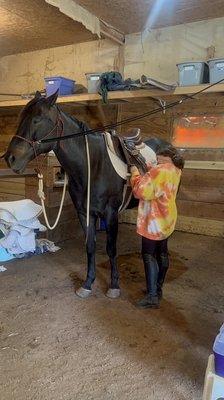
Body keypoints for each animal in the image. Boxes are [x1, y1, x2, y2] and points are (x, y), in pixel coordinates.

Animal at [4, 90, 170, 296]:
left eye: (38, 119)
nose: (10, 158)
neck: (93, 164)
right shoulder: (84, 213)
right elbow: (90, 246)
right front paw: (88, 283)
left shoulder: (111, 214)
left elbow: (111, 249)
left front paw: (114, 285)